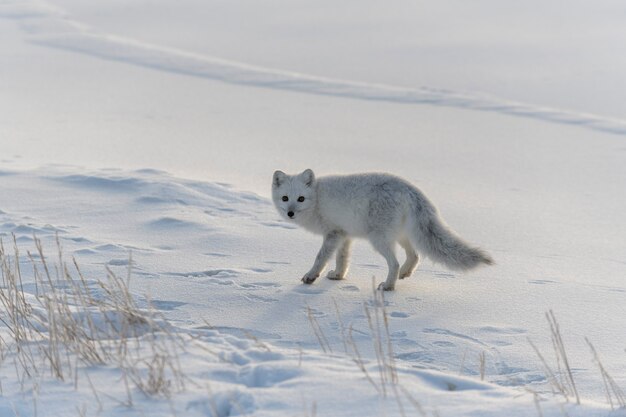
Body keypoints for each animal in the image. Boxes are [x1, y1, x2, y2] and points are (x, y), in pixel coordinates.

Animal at [272, 169, 492, 290]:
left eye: (301, 198)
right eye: (285, 198)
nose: (290, 213)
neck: (317, 198)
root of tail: (411, 189)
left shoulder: (333, 234)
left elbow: (320, 258)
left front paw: (310, 277)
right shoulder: (345, 235)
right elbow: (342, 259)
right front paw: (338, 276)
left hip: (378, 239)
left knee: (394, 263)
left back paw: (388, 286)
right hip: (402, 235)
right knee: (415, 256)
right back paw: (403, 274)